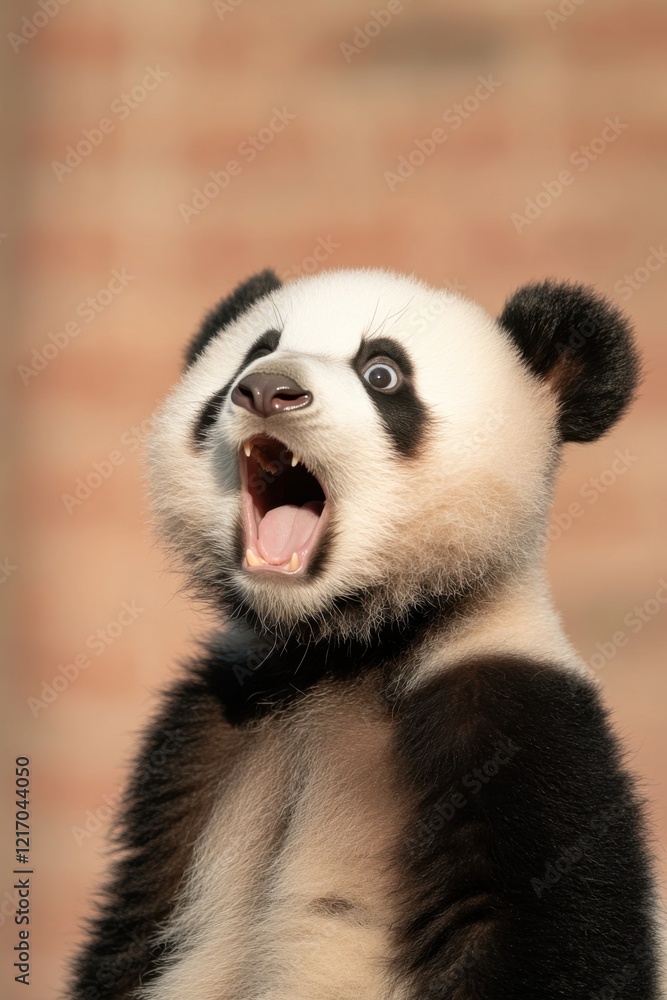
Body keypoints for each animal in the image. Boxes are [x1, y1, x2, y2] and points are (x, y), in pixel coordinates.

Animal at [70, 268, 659, 999]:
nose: (267, 390)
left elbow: (556, 933)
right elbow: (135, 925)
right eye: (256, 351)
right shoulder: (202, 734)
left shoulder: (514, 723)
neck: (341, 648)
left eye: (382, 373)